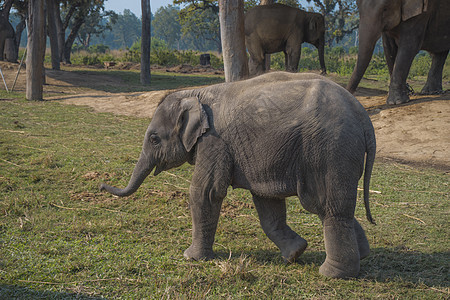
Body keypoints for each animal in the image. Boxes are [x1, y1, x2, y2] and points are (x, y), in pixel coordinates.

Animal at [101, 71, 376, 278]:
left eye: (154, 139)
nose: (103, 185)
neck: (196, 93)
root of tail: (363, 117)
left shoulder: (214, 141)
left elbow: (206, 192)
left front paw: (191, 258)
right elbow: (267, 204)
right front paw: (295, 254)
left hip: (329, 150)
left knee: (326, 206)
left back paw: (333, 274)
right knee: (333, 207)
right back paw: (362, 256)